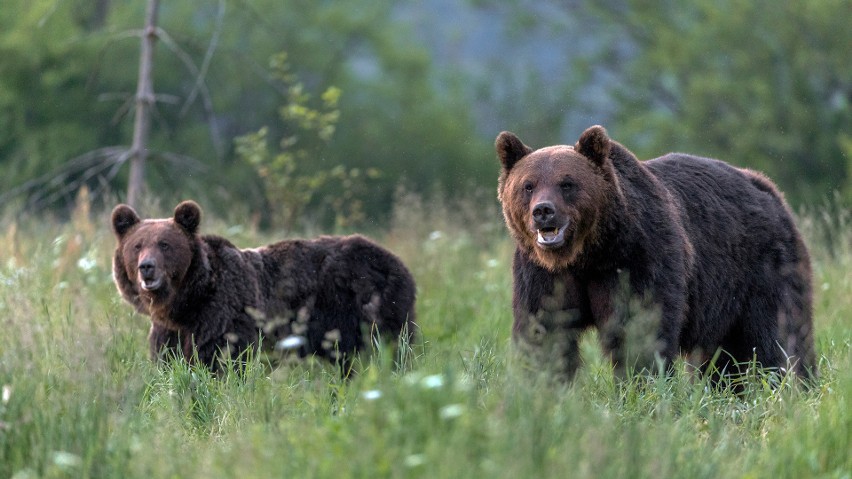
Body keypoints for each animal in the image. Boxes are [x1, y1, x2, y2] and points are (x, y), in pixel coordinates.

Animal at [111, 201, 418, 374]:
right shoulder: (170, 332)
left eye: (165, 244)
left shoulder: (225, 316)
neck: (188, 303)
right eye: (137, 245)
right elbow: (168, 363)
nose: (147, 266)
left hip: (371, 310)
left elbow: (221, 362)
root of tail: (399, 262)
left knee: (390, 350)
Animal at [496, 125, 816, 384]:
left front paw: (641, 386)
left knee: (779, 335)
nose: (543, 211)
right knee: (723, 357)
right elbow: (545, 330)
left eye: (567, 183)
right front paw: (543, 386)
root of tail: (769, 189)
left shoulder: (637, 256)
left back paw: (794, 385)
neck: (588, 254)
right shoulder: (543, 274)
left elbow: (639, 327)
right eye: (528, 185)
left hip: (765, 268)